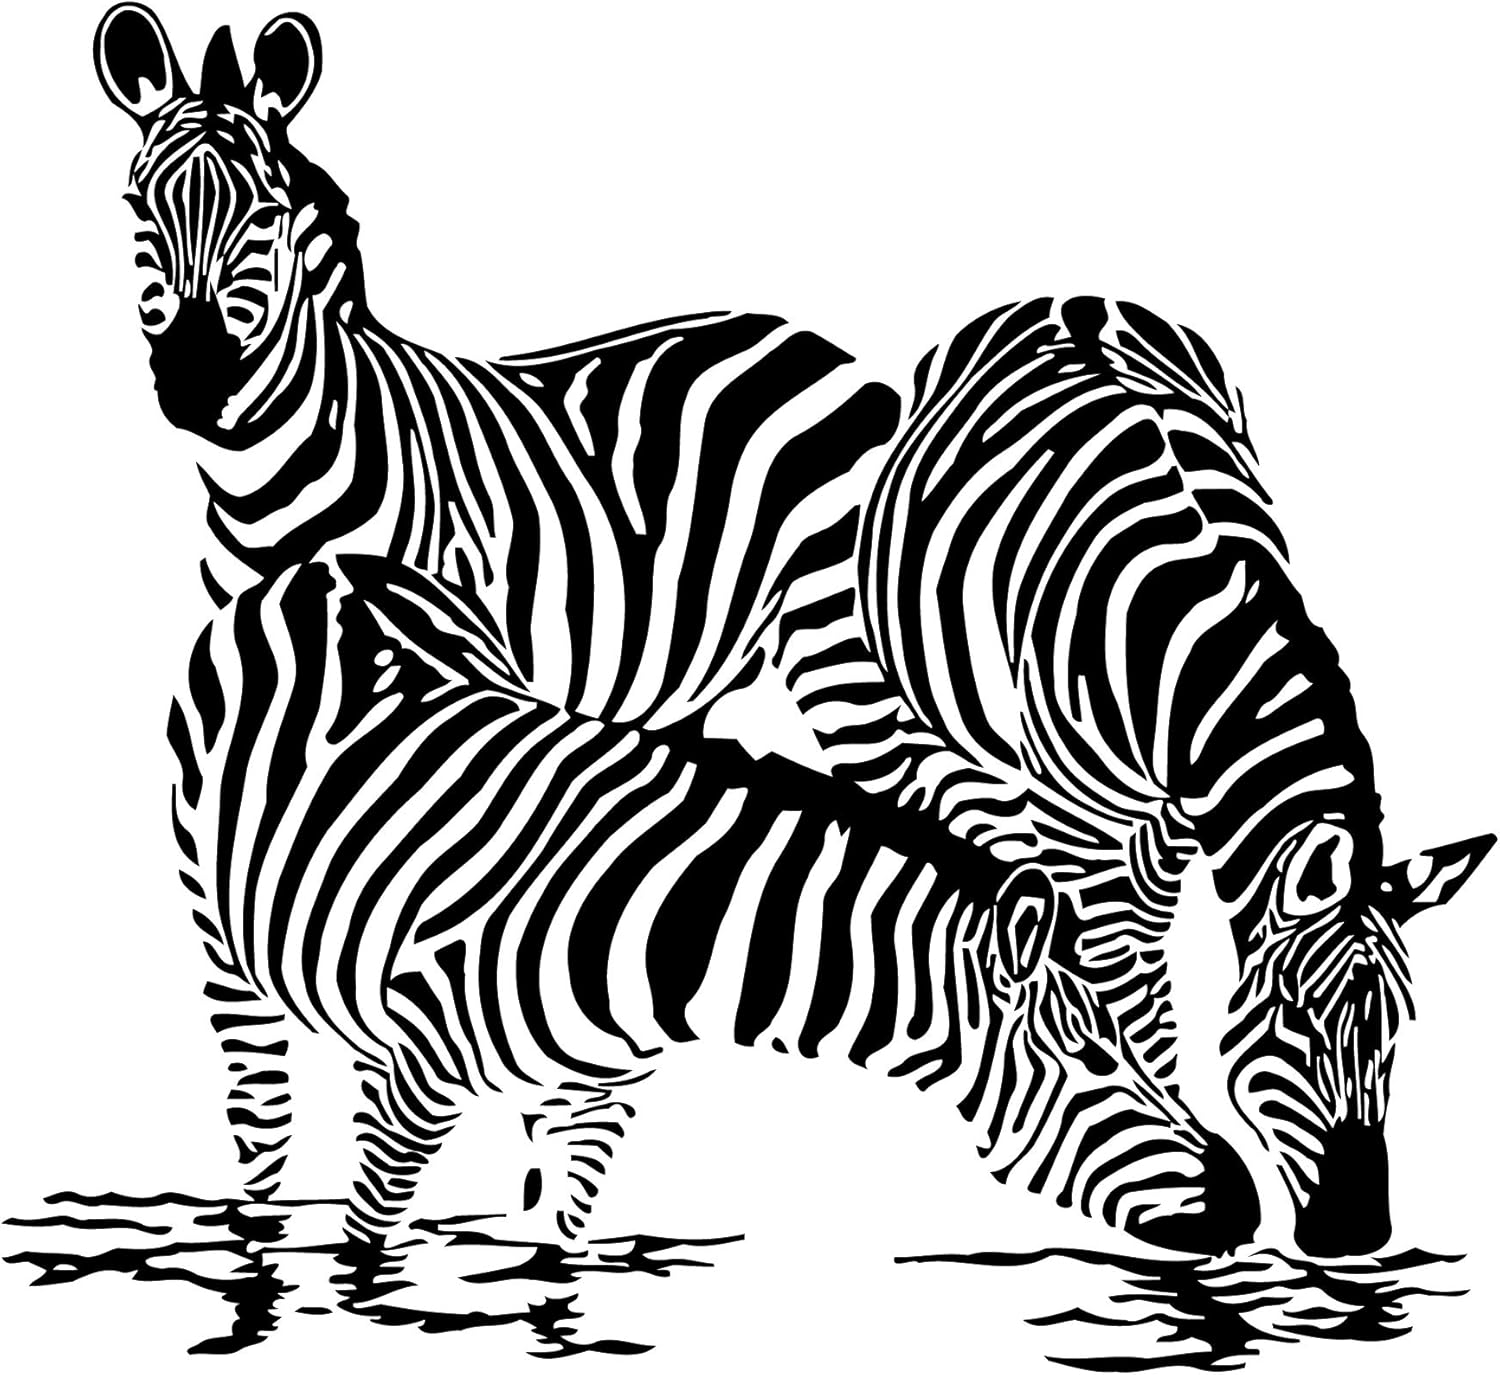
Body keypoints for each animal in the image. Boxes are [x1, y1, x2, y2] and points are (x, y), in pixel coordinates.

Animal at [92, 5, 908, 737]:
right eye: (136, 208)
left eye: (266, 215)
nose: (194, 381)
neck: (261, 482)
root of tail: (820, 346)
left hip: (836, 631)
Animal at [168, 554, 1261, 1255]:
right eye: (1094, 1060)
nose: (1249, 1204)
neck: (655, 934)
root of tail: (324, 567)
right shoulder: (418, 1088)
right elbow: (367, 1253)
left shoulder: (597, 1105)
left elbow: (556, 1258)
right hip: (222, 948)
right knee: (262, 1124)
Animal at [783, 295, 1494, 1256]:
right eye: (1296, 1023)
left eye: (1398, 1033)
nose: (1359, 1233)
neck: (1187, 639)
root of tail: (1065, 295)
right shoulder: (1087, 829)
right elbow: (1129, 993)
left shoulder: (1174, 828)